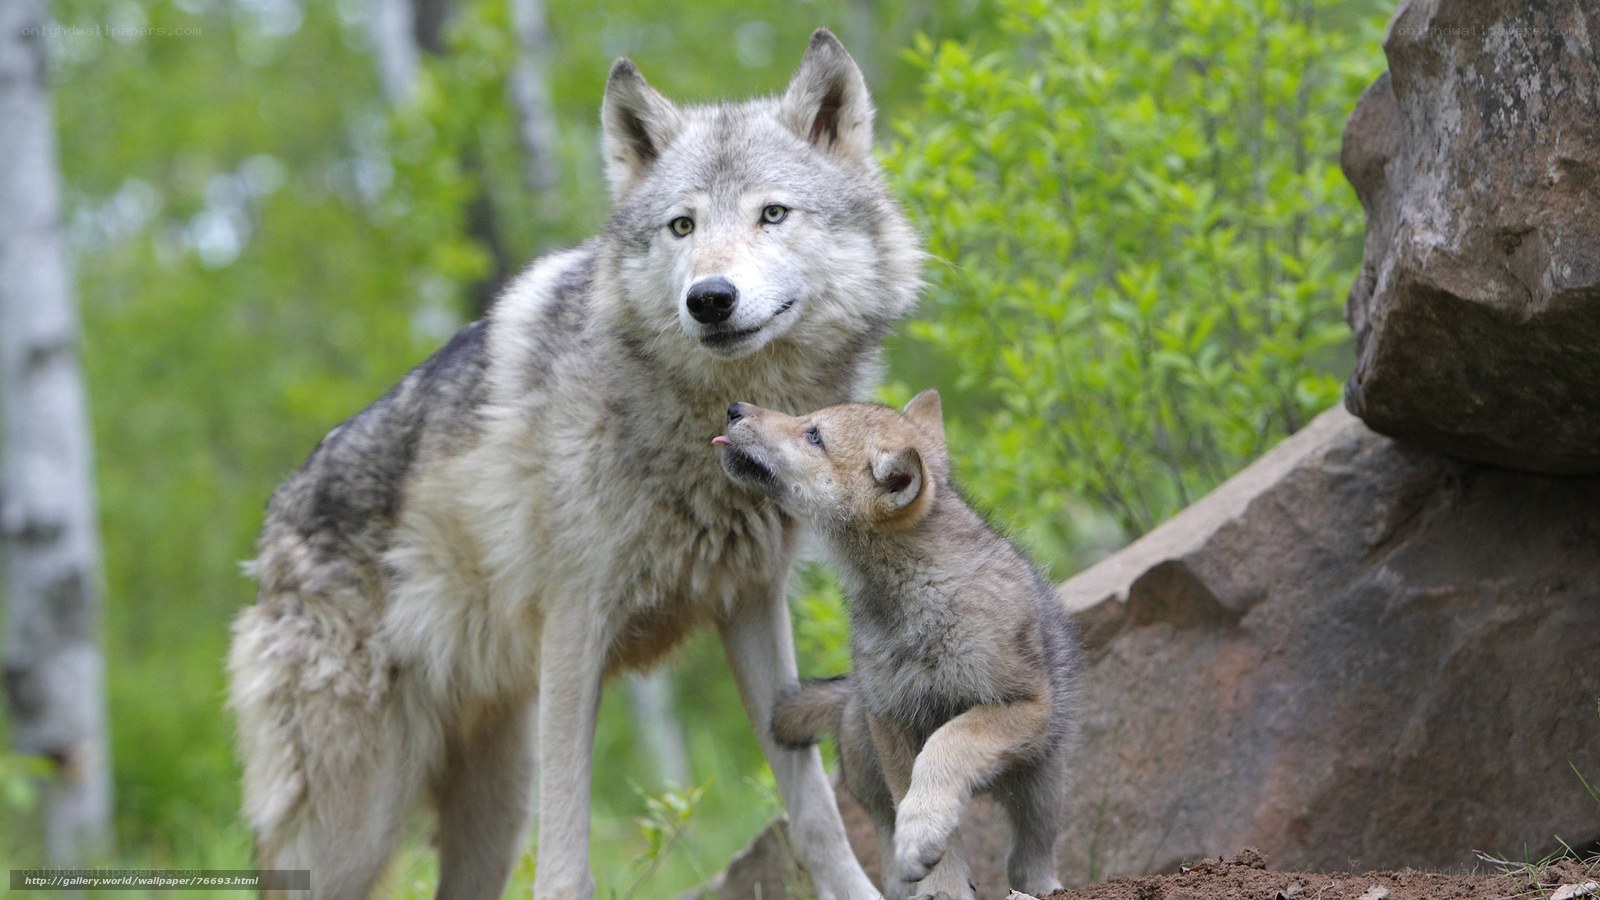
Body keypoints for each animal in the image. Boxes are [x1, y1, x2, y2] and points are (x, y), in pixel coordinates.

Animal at [226, 30, 918, 900]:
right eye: (682, 226)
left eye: (772, 214)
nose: (710, 299)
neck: (701, 424)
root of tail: (271, 533)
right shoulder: (574, 630)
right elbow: (565, 862)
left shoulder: (752, 606)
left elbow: (816, 817)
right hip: (358, 821)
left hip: (492, 803)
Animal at [714, 391, 1079, 900]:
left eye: (814, 434)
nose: (734, 408)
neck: (915, 594)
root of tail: (849, 696)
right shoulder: (892, 719)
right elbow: (916, 797)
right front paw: (939, 884)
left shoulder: (1022, 704)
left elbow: (948, 744)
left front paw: (923, 837)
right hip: (871, 772)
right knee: (888, 852)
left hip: (1041, 785)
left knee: (1029, 856)